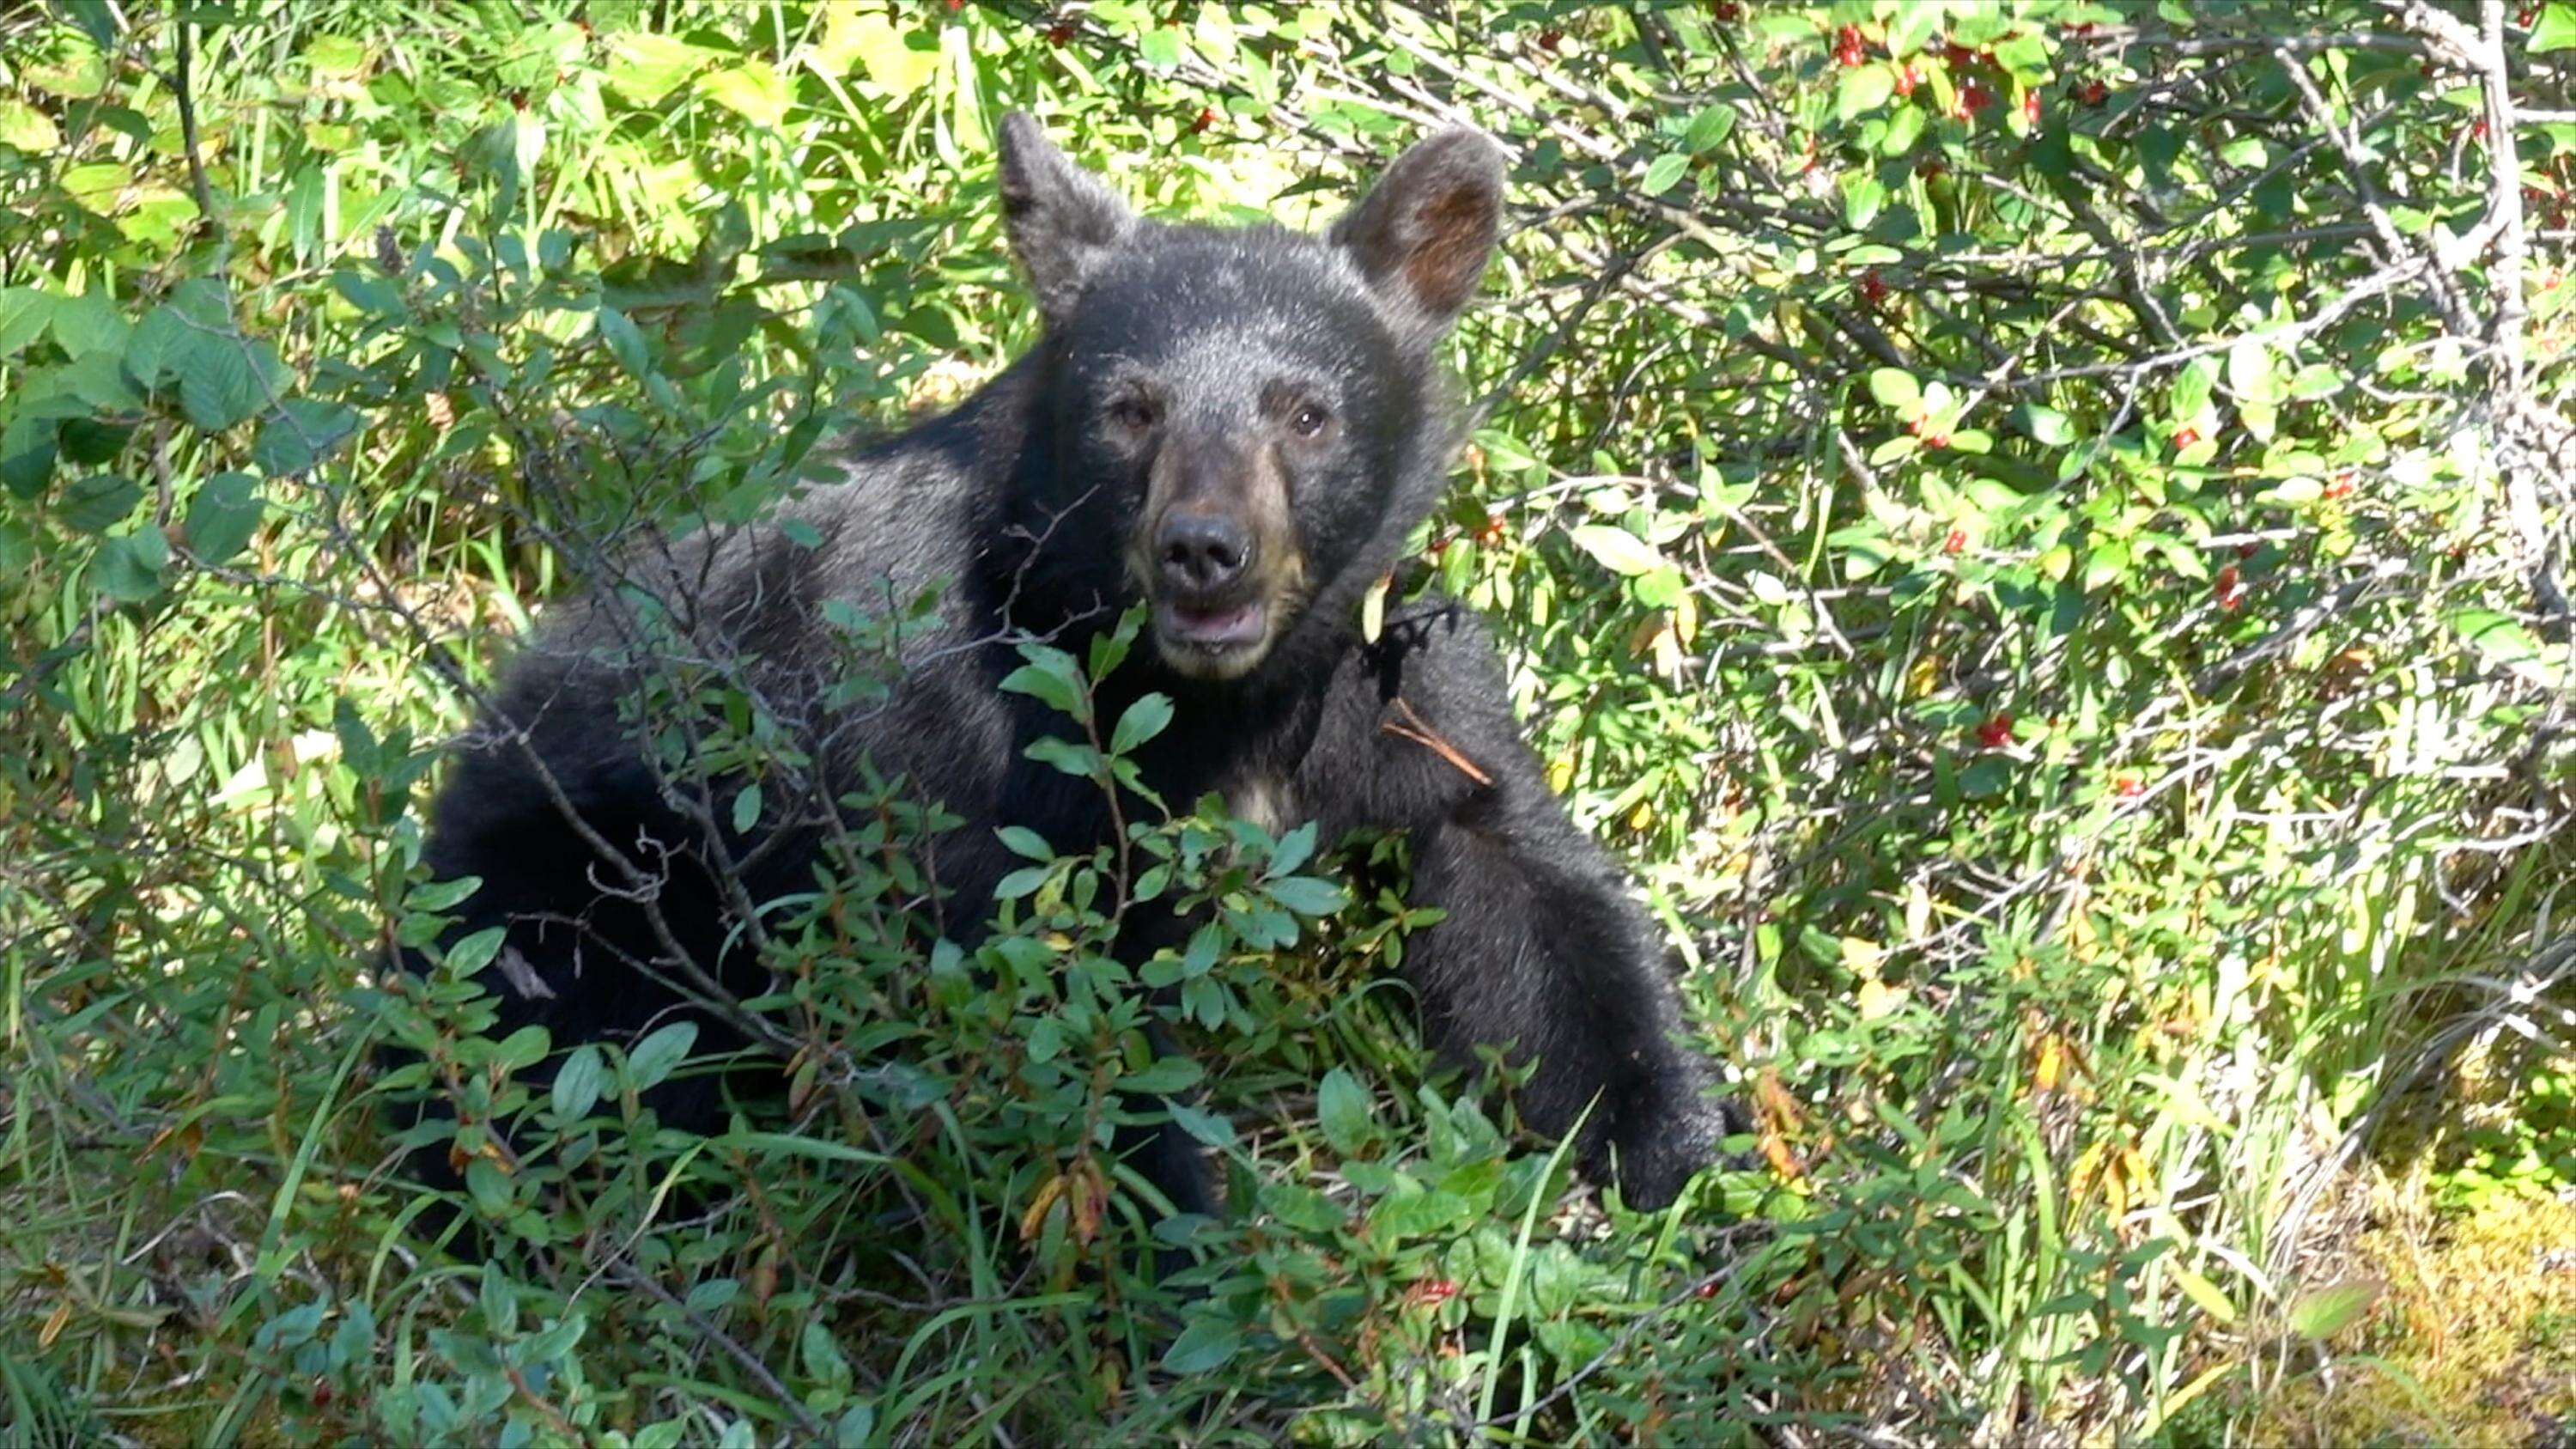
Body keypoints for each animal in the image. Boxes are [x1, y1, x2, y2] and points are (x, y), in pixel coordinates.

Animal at [407, 110, 1731, 1216]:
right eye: (1130, 408)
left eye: (1306, 412)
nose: (1206, 551)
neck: (1214, 694)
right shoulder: (960, 732)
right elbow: (1053, 1008)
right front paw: (1199, 1257)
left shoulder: (1393, 682)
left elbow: (1524, 881)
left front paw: (1669, 1162)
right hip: (583, 881)